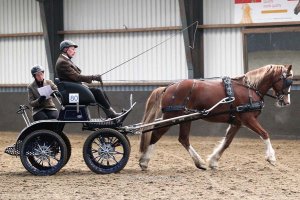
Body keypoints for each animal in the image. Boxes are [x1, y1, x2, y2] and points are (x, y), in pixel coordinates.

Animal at [140, 64, 292, 170]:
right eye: (287, 81)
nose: (286, 102)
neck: (249, 89)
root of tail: (169, 87)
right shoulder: (248, 118)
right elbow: (264, 134)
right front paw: (271, 158)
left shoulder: (237, 122)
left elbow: (227, 142)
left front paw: (213, 161)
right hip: (172, 116)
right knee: (156, 134)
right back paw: (144, 161)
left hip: (185, 117)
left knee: (183, 139)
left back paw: (199, 163)